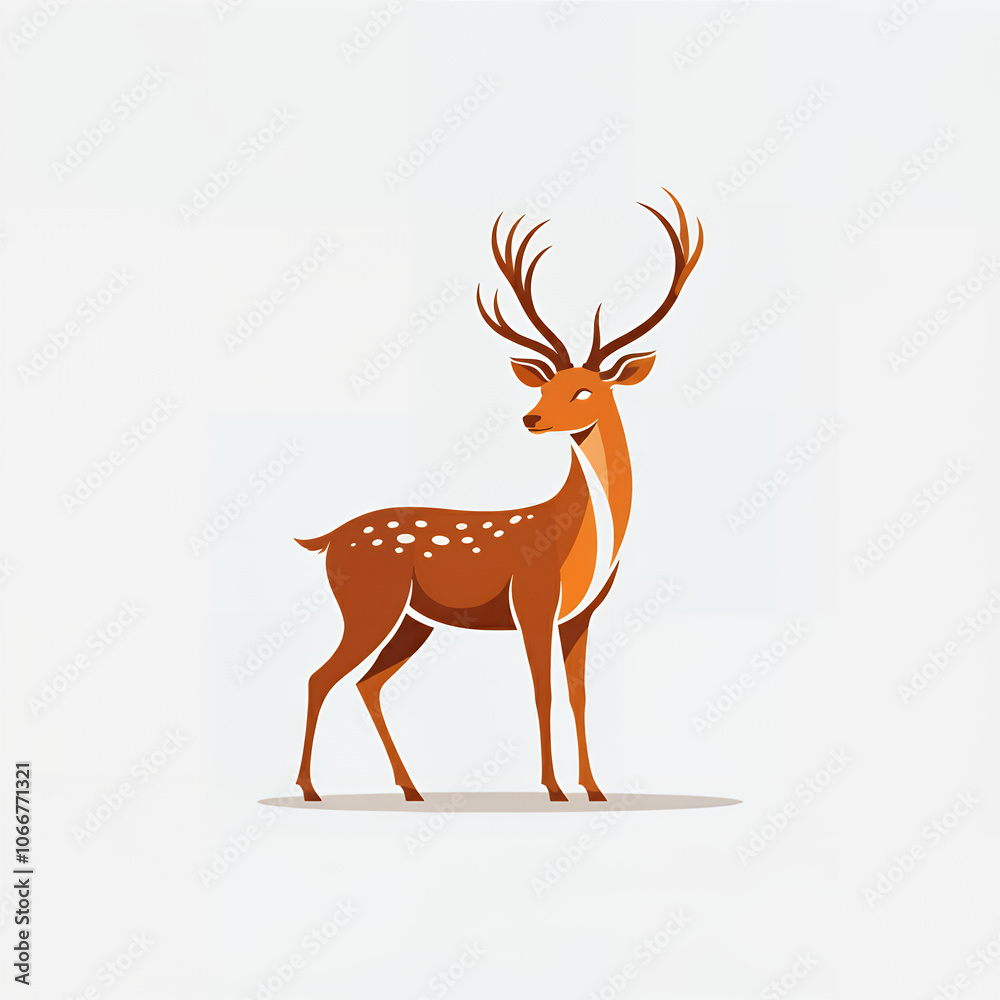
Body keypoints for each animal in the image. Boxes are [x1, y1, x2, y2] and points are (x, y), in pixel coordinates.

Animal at [293, 188, 703, 803]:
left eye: (584, 389)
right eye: (545, 383)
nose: (531, 418)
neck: (580, 541)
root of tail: (328, 539)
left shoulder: (581, 614)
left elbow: (579, 693)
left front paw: (594, 787)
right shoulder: (532, 599)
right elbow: (541, 690)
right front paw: (554, 788)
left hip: (413, 618)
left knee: (368, 682)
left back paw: (410, 788)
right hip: (370, 602)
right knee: (322, 675)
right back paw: (310, 788)